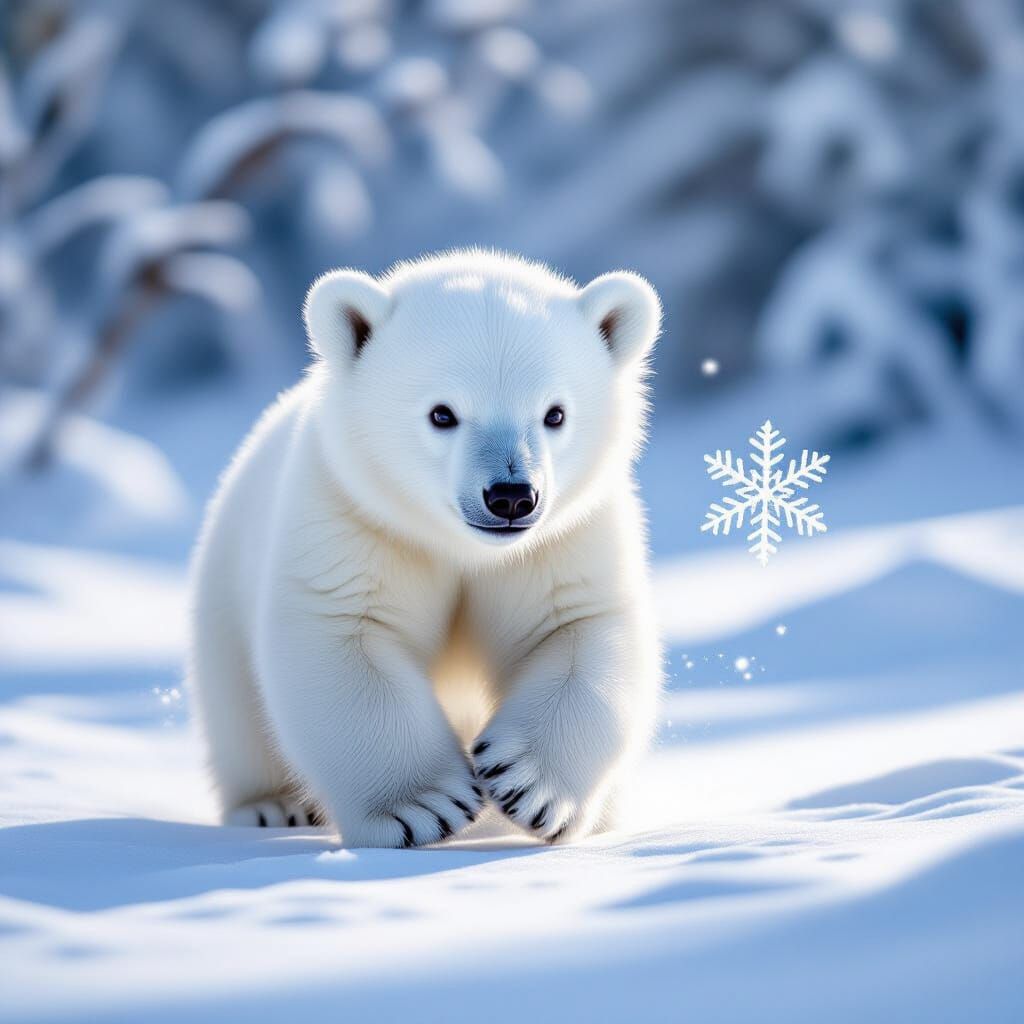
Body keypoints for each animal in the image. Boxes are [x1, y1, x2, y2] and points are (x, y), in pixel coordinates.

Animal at [188, 249, 663, 847]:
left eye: (555, 413)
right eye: (443, 413)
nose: (511, 496)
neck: (462, 547)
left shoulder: (565, 538)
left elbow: (582, 629)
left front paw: (526, 784)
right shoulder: (354, 517)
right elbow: (344, 637)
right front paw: (423, 807)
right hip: (224, 590)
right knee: (235, 710)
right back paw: (272, 806)